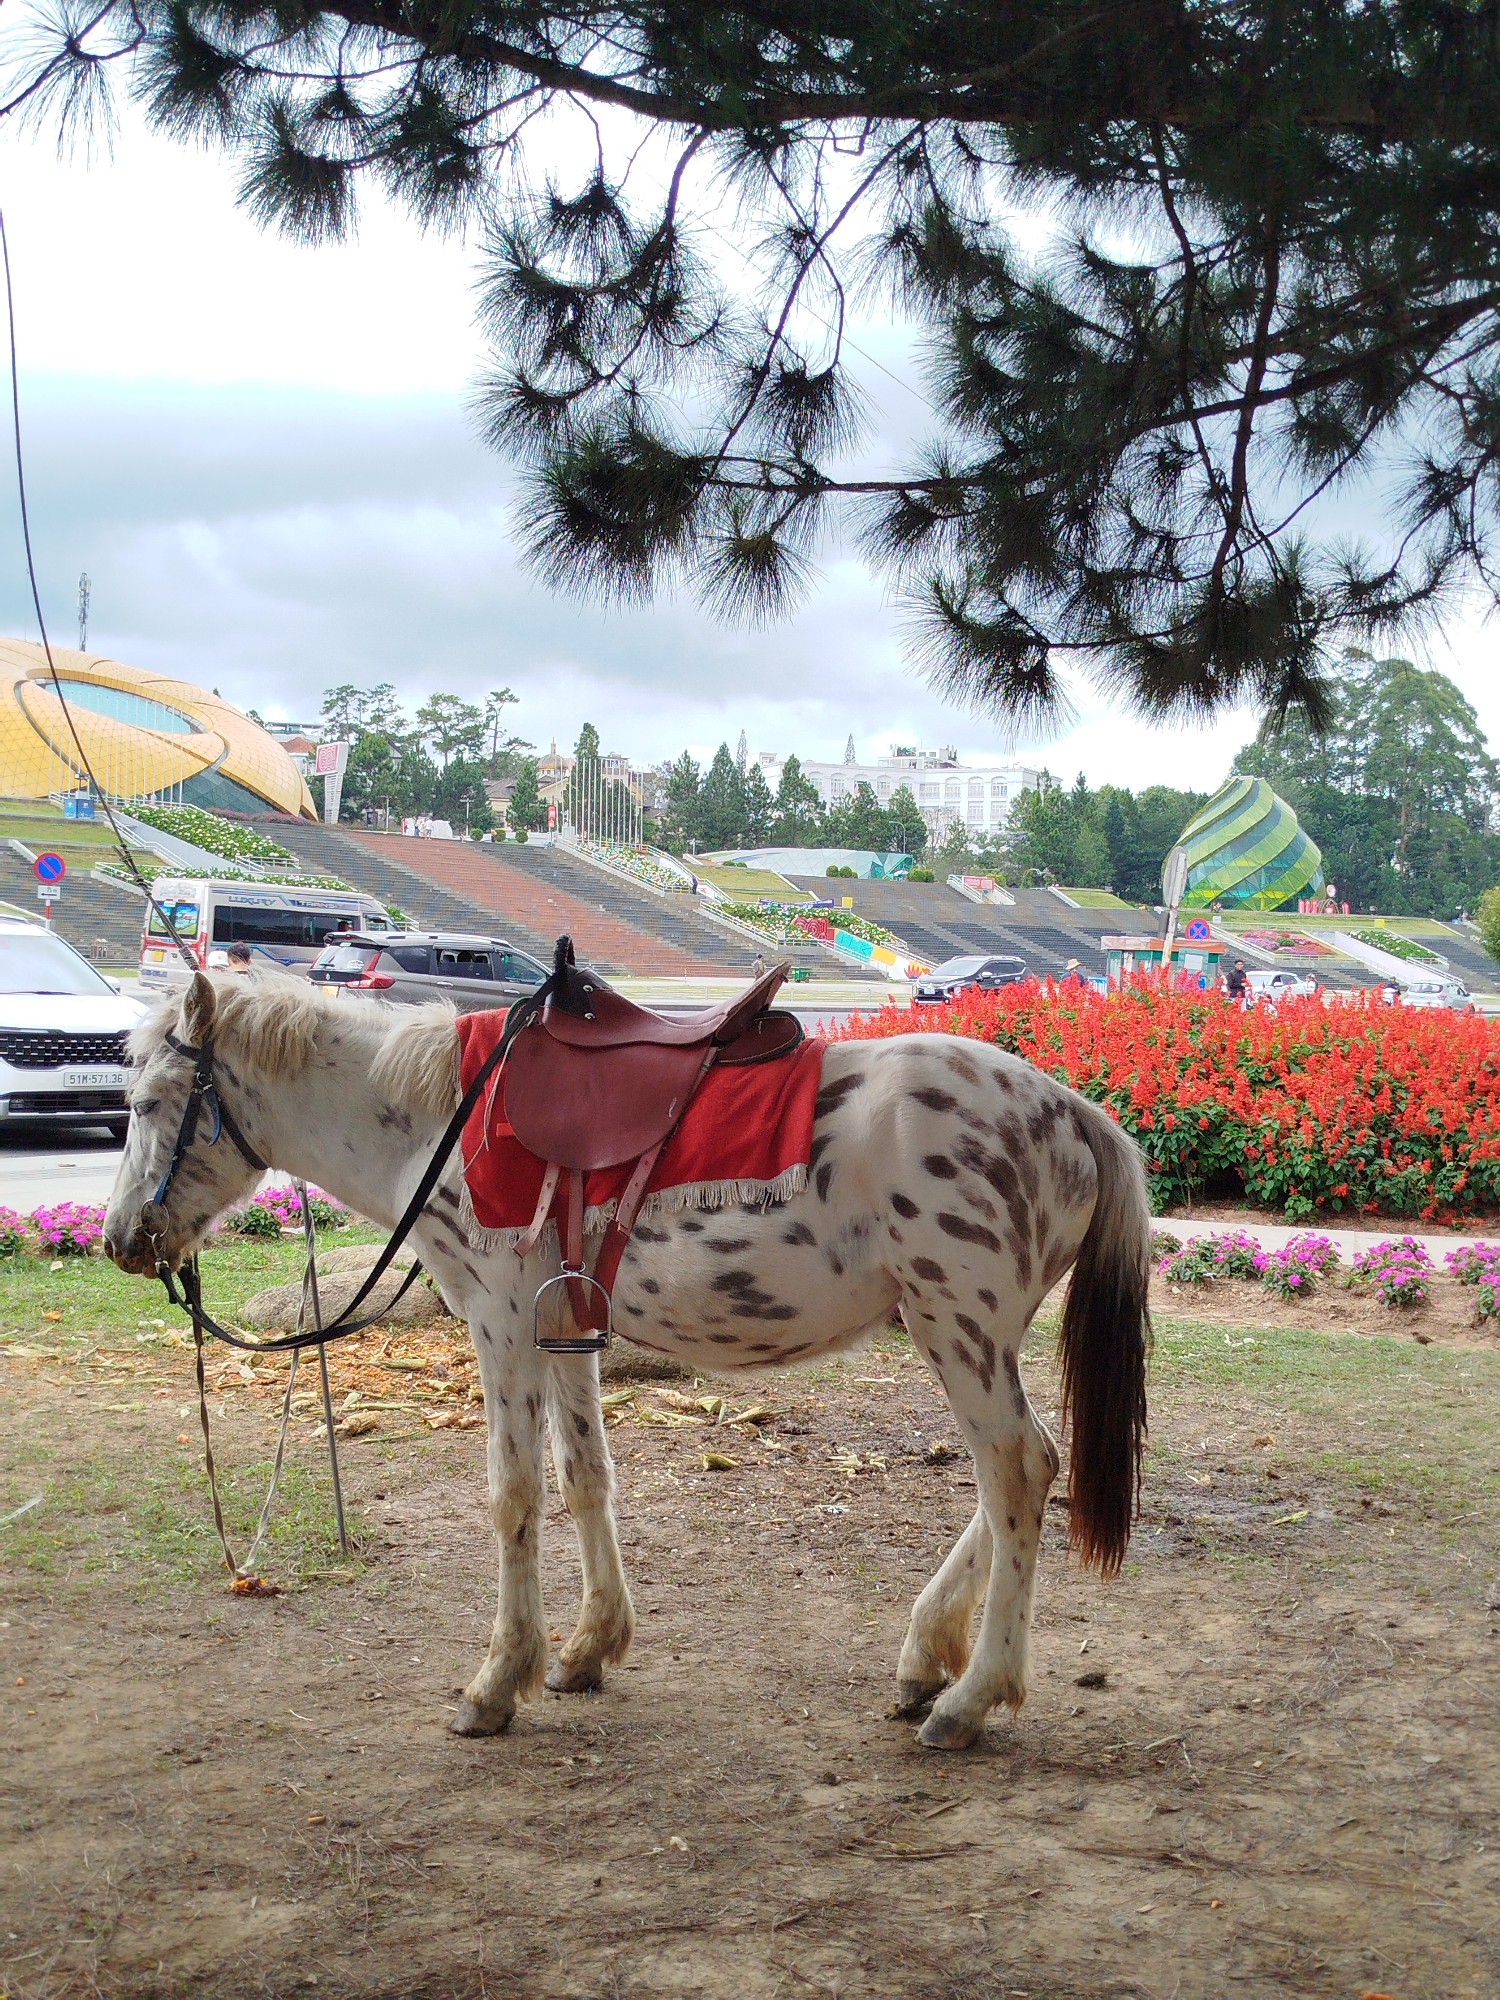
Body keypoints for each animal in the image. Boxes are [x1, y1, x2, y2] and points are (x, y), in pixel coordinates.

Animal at [103, 971, 1151, 1752]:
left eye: (148, 1102)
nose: (121, 1240)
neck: (444, 1118)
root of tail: (1071, 1110)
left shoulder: (500, 1322)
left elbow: (513, 1495)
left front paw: (499, 1680)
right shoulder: (565, 1327)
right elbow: (585, 1477)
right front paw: (587, 1647)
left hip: (957, 1327)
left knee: (1017, 1469)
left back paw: (970, 1698)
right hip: (967, 1335)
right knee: (1016, 1476)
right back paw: (926, 1657)